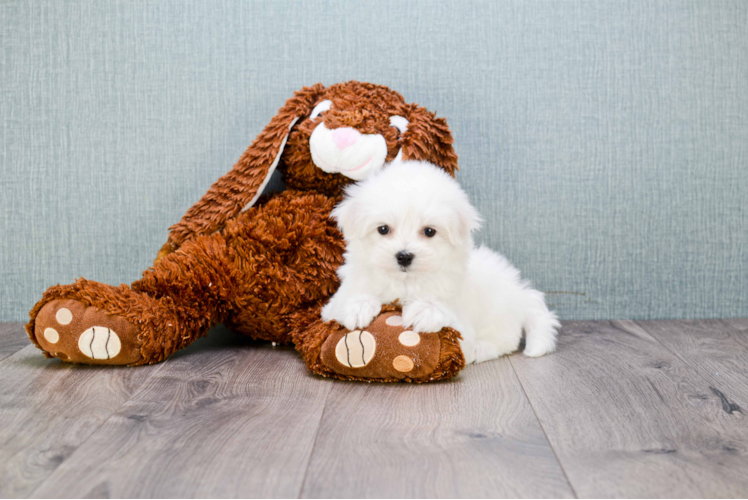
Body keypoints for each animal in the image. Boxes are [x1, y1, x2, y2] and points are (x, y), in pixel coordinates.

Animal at [322, 160, 560, 364]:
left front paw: (425, 310)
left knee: (503, 341)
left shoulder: (460, 320)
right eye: (383, 229)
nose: (404, 256)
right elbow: (346, 302)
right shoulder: (332, 306)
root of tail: (520, 293)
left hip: (499, 318)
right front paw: (358, 306)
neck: (405, 282)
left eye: (429, 231)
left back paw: (481, 349)